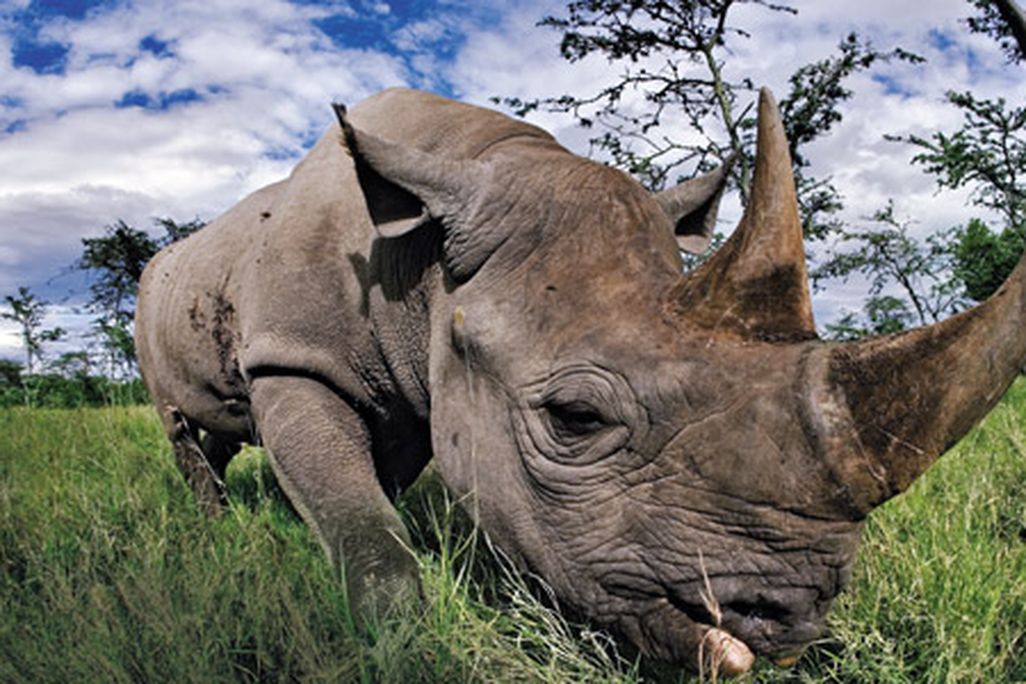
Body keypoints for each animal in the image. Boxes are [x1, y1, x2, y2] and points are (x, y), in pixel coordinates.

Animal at [135, 83, 1026, 674]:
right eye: (574, 418)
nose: (791, 615)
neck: (424, 266)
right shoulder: (294, 355)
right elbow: (361, 521)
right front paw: (404, 644)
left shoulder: (418, 394)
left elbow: (374, 486)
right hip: (157, 292)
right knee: (182, 424)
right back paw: (212, 527)